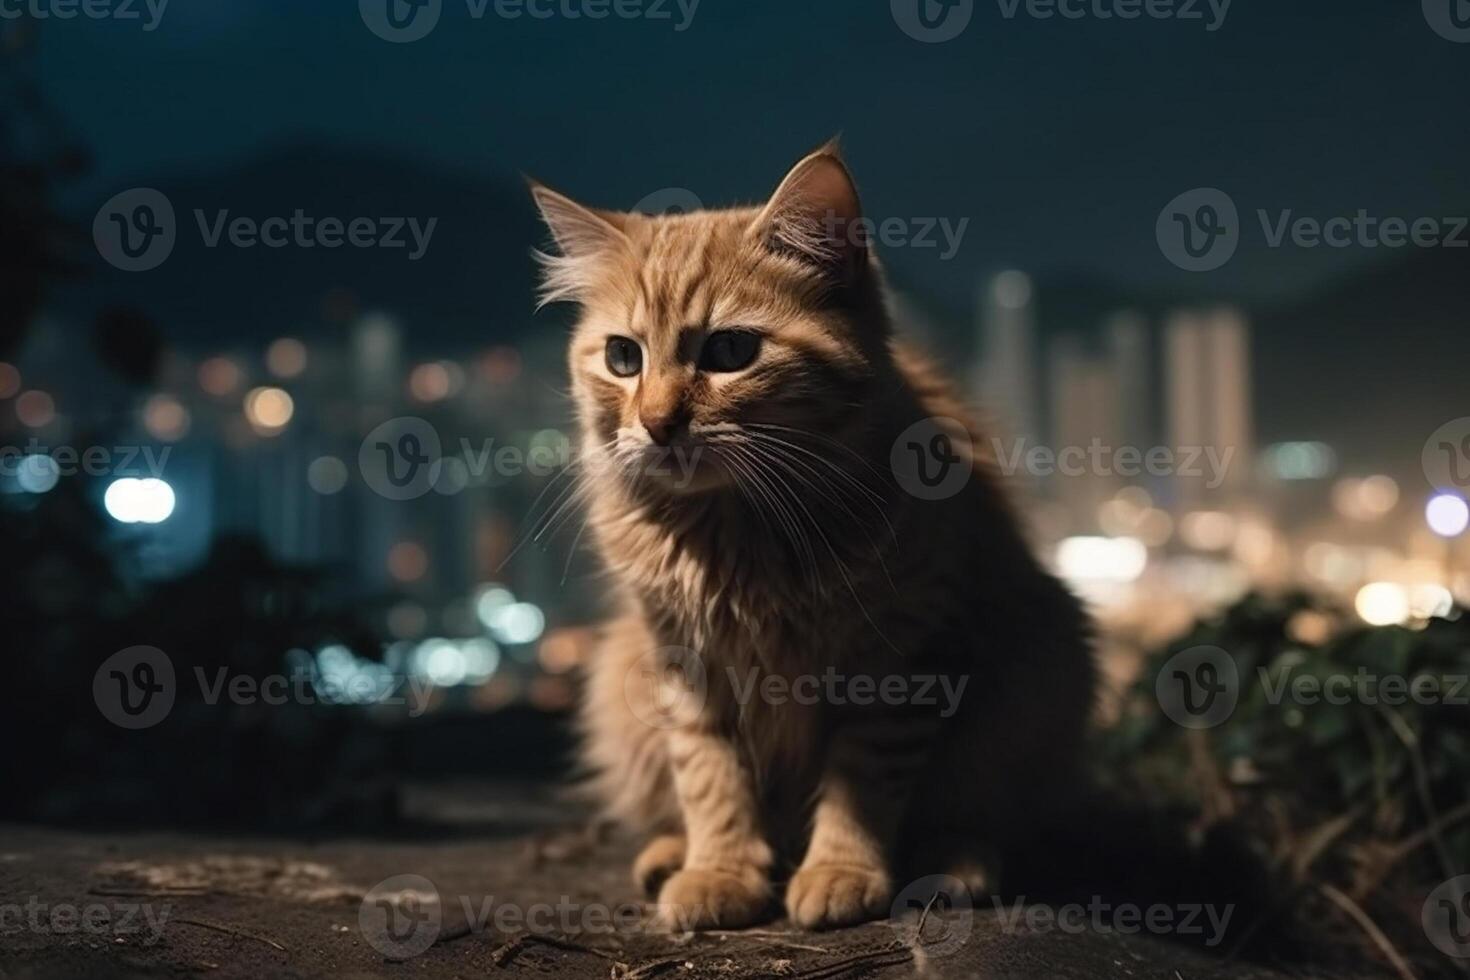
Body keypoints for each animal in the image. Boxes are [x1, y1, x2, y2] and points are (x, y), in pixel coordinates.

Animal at [529, 141, 1093, 934]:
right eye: (622, 359)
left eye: (730, 351)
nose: (658, 423)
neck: (737, 536)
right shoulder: (683, 659)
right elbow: (708, 778)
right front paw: (720, 871)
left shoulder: (904, 658)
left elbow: (862, 784)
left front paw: (839, 871)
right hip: (618, 674)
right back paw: (670, 854)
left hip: (1044, 662)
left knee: (985, 816)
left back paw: (954, 865)